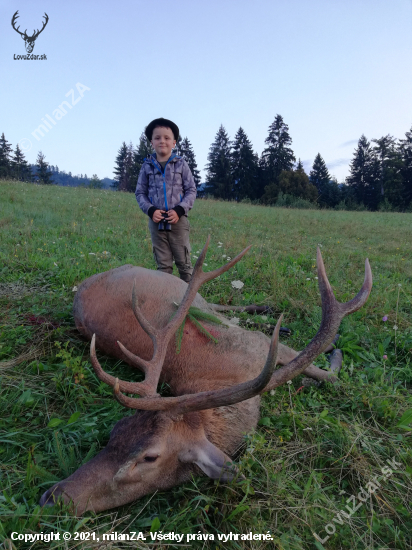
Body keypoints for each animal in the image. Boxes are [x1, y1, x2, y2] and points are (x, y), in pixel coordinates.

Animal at [40, 239, 372, 516]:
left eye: (149, 457)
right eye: (115, 432)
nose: (52, 497)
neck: (221, 381)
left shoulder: (257, 343)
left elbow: (328, 376)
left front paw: (333, 350)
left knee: (208, 299)